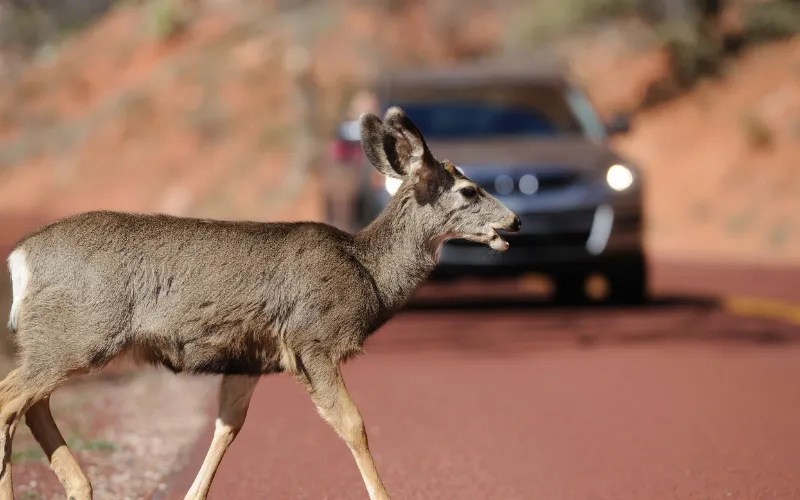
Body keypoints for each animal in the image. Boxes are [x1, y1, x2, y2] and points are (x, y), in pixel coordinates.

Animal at [1, 107, 520, 500]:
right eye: (469, 190)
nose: (514, 221)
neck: (368, 273)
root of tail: (20, 258)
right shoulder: (313, 340)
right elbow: (354, 424)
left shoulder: (249, 356)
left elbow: (227, 428)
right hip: (78, 334)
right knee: (11, 399)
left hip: (58, 340)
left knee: (33, 404)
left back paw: (80, 486)